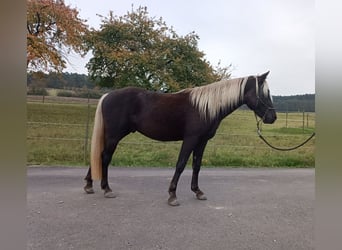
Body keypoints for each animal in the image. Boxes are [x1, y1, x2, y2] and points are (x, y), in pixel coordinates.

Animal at [84, 71, 276, 206]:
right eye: (265, 93)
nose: (272, 117)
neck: (206, 107)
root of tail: (107, 96)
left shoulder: (202, 141)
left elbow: (197, 165)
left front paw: (198, 192)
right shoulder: (190, 139)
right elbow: (181, 164)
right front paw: (172, 195)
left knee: (99, 156)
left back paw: (89, 185)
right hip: (114, 136)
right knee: (105, 157)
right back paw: (106, 189)